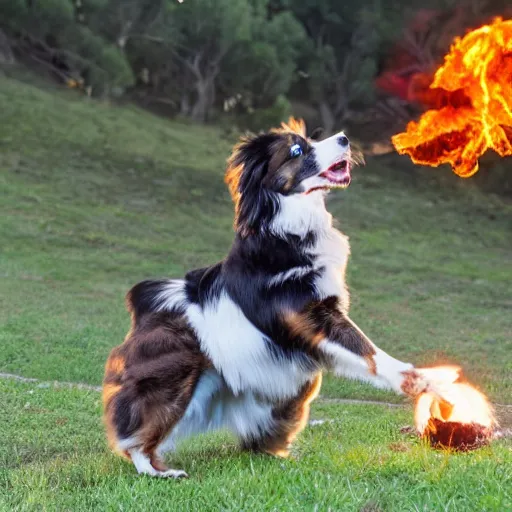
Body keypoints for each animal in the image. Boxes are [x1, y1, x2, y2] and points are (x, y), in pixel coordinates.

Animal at [104, 118, 444, 478]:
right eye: (296, 150)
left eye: (311, 140)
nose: (344, 138)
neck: (286, 223)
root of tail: (150, 305)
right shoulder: (310, 315)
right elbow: (370, 352)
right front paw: (423, 381)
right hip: (173, 372)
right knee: (135, 434)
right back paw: (158, 470)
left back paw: (277, 455)